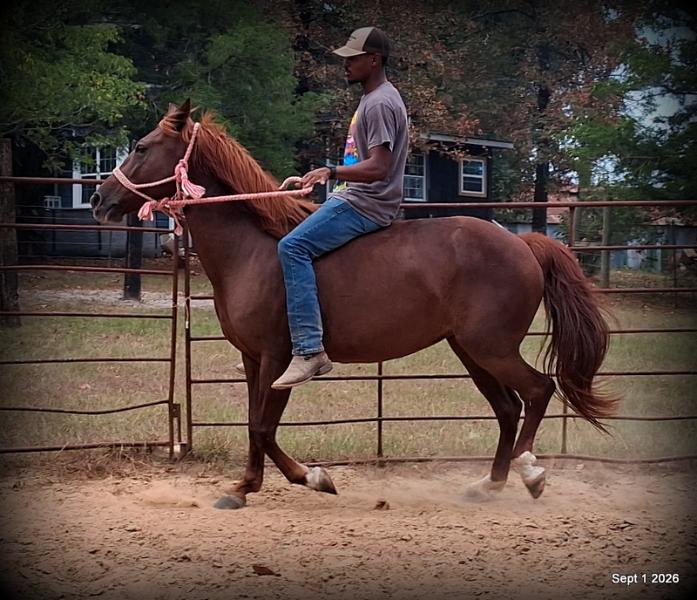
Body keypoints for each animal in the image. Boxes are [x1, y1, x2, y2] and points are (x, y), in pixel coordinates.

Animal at [91, 100, 617, 508]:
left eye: (141, 147)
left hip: (491, 347)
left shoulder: (279, 358)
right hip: (471, 350)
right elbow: (255, 424)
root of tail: (523, 243)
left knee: (538, 391)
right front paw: (247, 486)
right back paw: (489, 485)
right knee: (508, 408)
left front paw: (309, 478)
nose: (99, 198)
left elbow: (263, 425)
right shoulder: (253, 358)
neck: (254, 250)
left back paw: (530, 472)